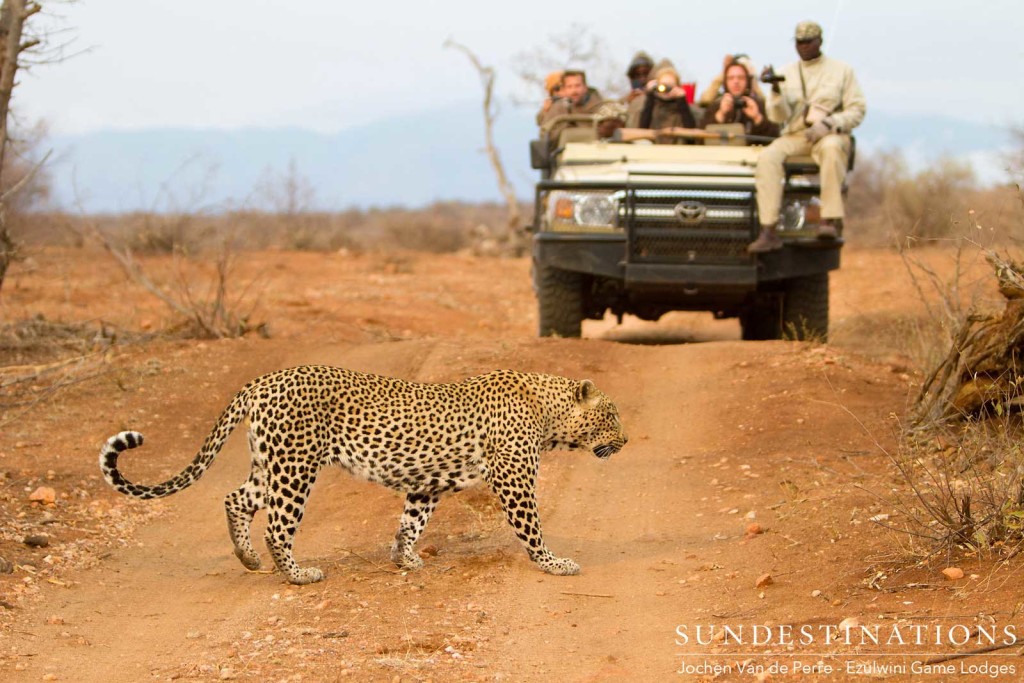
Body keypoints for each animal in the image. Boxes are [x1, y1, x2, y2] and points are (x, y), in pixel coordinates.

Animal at [97, 366, 622, 585]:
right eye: (613, 416)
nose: (629, 439)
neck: (549, 414)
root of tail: (264, 380)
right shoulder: (514, 481)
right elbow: (532, 528)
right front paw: (555, 564)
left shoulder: (427, 483)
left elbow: (411, 523)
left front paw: (403, 559)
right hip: (295, 467)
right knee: (277, 526)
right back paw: (298, 575)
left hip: (269, 463)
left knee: (234, 499)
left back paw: (247, 559)